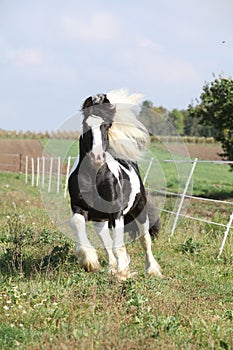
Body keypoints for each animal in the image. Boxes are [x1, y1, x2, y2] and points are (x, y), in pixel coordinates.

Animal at [67, 90, 162, 278]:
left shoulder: (116, 213)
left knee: (145, 240)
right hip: (100, 220)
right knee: (106, 240)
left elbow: (120, 245)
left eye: (106, 126)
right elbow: (79, 226)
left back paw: (152, 270)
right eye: (85, 125)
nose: (97, 158)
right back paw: (111, 267)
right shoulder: (79, 208)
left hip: (139, 210)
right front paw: (90, 262)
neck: (94, 176)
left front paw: (123, 273)